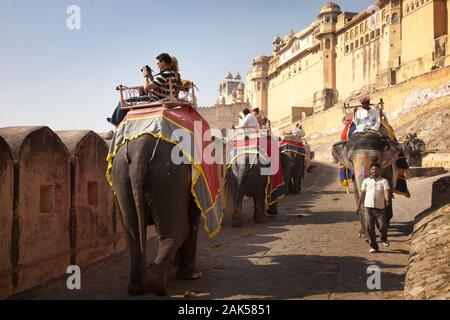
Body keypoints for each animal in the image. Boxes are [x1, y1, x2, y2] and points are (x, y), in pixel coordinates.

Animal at [110, 136, 202, 298]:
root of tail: (140, 153)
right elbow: (193, 217)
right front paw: (193, 276)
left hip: (121, 178)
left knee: (133, 234)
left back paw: (137, 288)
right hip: (169, 178)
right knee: (177, 231)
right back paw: (157, 287)